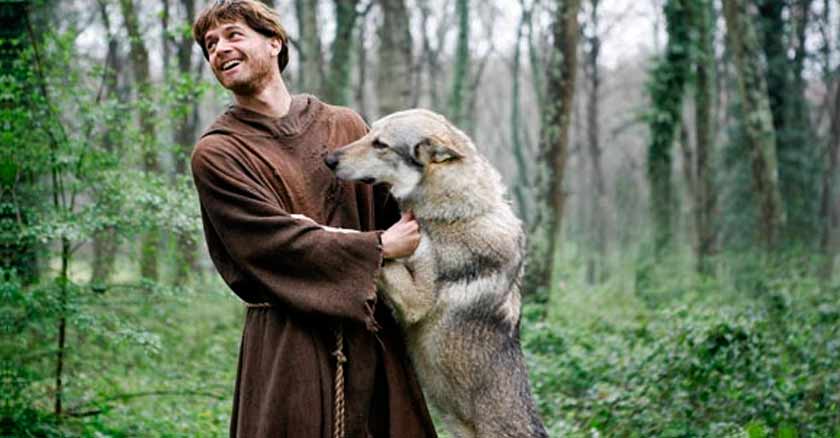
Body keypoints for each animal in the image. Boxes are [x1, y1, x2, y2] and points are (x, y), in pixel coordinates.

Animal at [323, 109, 547, 438]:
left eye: (381, 144)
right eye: (369, 133)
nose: (328, 158)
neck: (456, 214)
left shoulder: (416, 300)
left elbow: (365, 240)